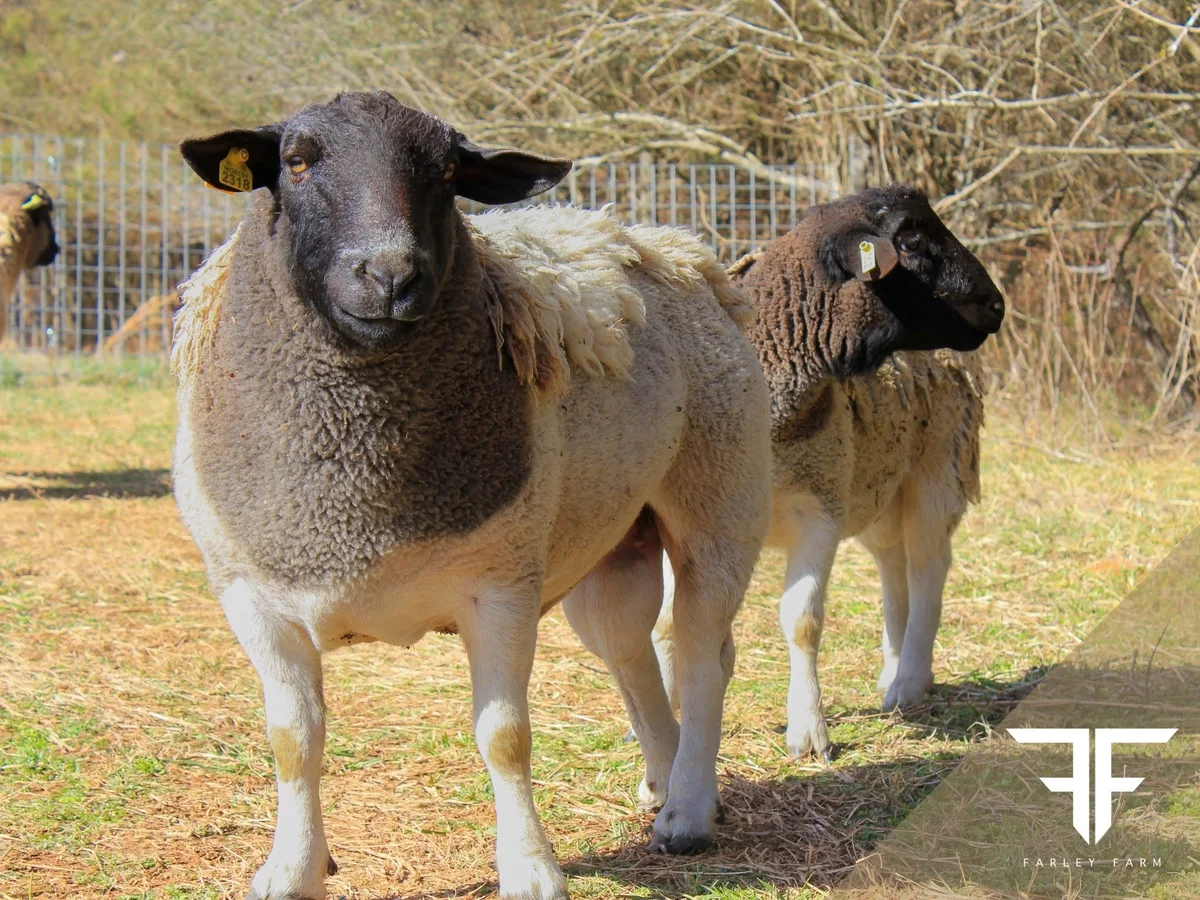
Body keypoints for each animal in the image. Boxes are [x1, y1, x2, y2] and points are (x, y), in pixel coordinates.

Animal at [172, 91, 771, 900]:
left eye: (450, 172)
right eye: (295, 162)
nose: (390, 274)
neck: (358, 502)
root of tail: (675, 249)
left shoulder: (501, 585)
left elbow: (505, 737)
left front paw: (530, 869)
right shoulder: (250, 597)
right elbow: (293, 739)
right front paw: (292, 869)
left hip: (721, 502)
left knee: (703, 655)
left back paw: (688, 813)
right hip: (612, 541)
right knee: (632, 654)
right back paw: (665, 779)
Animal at [651, 185, 1005, 762]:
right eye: (911, 240)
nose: (997, 304)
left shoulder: (818, 508)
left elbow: (802, 621)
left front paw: (808, 731)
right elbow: (662, 619)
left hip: (937, 471)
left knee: (928, 566)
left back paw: (910, 682)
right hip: (877, 484)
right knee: (893, 565)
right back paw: (891, 672)